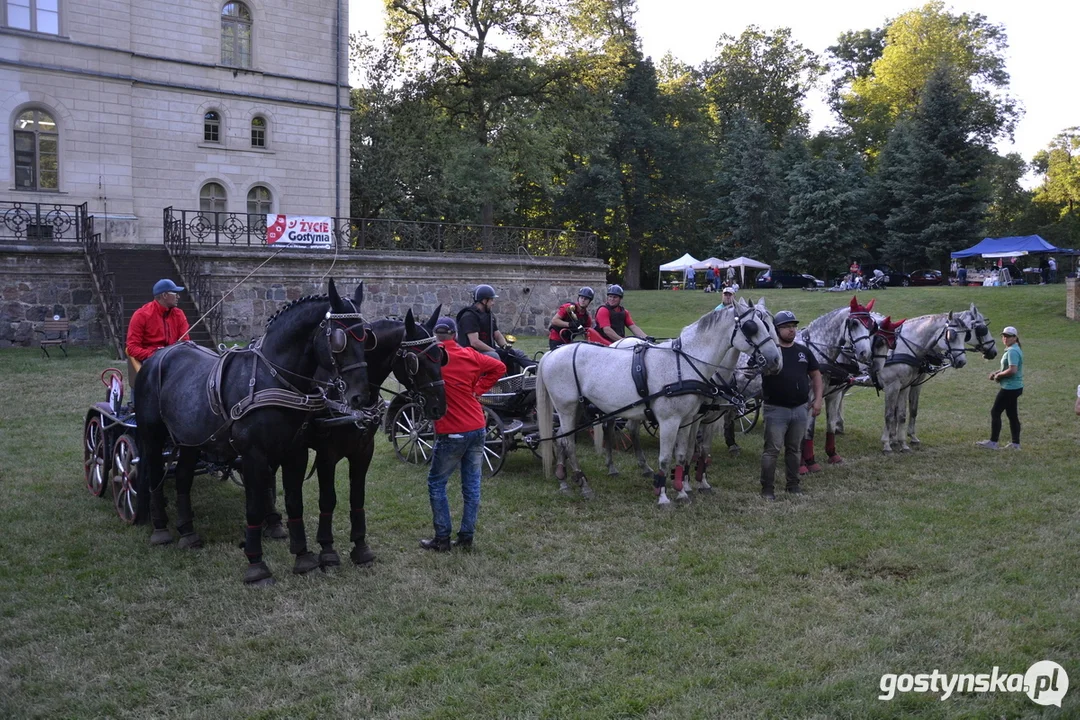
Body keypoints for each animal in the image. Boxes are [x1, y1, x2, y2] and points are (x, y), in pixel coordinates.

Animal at [133, 278, 371, 582]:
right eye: (339, 340)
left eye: (367, 336)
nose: (360, 396)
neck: (274, 378)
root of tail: (159, 355)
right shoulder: (253, 455)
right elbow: (254, 507)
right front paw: (256, 564)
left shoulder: (296, 453)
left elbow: (294, 503)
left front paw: (303, 557)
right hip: (152, 435)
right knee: (155, 476)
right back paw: (161, 528)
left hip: (189, 440)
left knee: (184, 478)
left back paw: (187, 532)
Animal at [280, 306, 449, 569]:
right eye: (414, 360)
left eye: (440, 356)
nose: (438, 407)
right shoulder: (327, 455)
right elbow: (328, 499)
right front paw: (327, 548)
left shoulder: (363, 451)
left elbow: (357, 497)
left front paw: (360, 546)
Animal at [535, 297, 781, 507]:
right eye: (752, 327)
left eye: (769, 324)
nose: (775, 360)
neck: (685, 363)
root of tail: (552, 354)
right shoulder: (670, 421)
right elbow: (665, 458)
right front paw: (664, 496)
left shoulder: (689, 420)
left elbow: (684, 454)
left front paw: (682, 490)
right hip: (567, 408)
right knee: (569, 442)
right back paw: (583, 483)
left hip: (578, 408)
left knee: (562, 438)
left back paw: (564, 480)